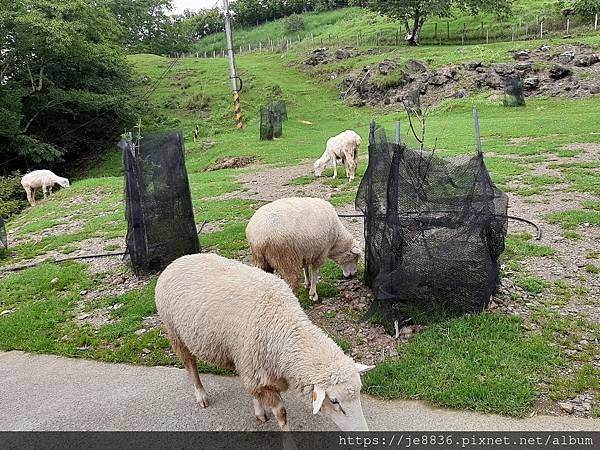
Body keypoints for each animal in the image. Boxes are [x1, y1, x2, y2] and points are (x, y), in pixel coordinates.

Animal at [154, 253, 376, 432]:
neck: (283, 324)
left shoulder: (251, 365)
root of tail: (177, 260)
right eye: (334, 401)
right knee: (190, 365)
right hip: (175, 332)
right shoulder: (255, 367)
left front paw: (259, 412)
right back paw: (201, 395)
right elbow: (282, 414)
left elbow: (254, 391)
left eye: (359, 392)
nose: (363, 434)